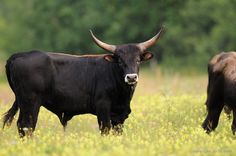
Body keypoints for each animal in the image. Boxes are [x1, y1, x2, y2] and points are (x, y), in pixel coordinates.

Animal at [2, 27, 164, 136]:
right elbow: (105, 130)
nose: (131, 77)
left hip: (23, 102)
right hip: (31, 102)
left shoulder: (120, 116)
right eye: (119, 60)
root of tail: (19, 55)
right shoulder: (103, 108)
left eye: (138, 60)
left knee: (21, 125)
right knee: (27, 125)